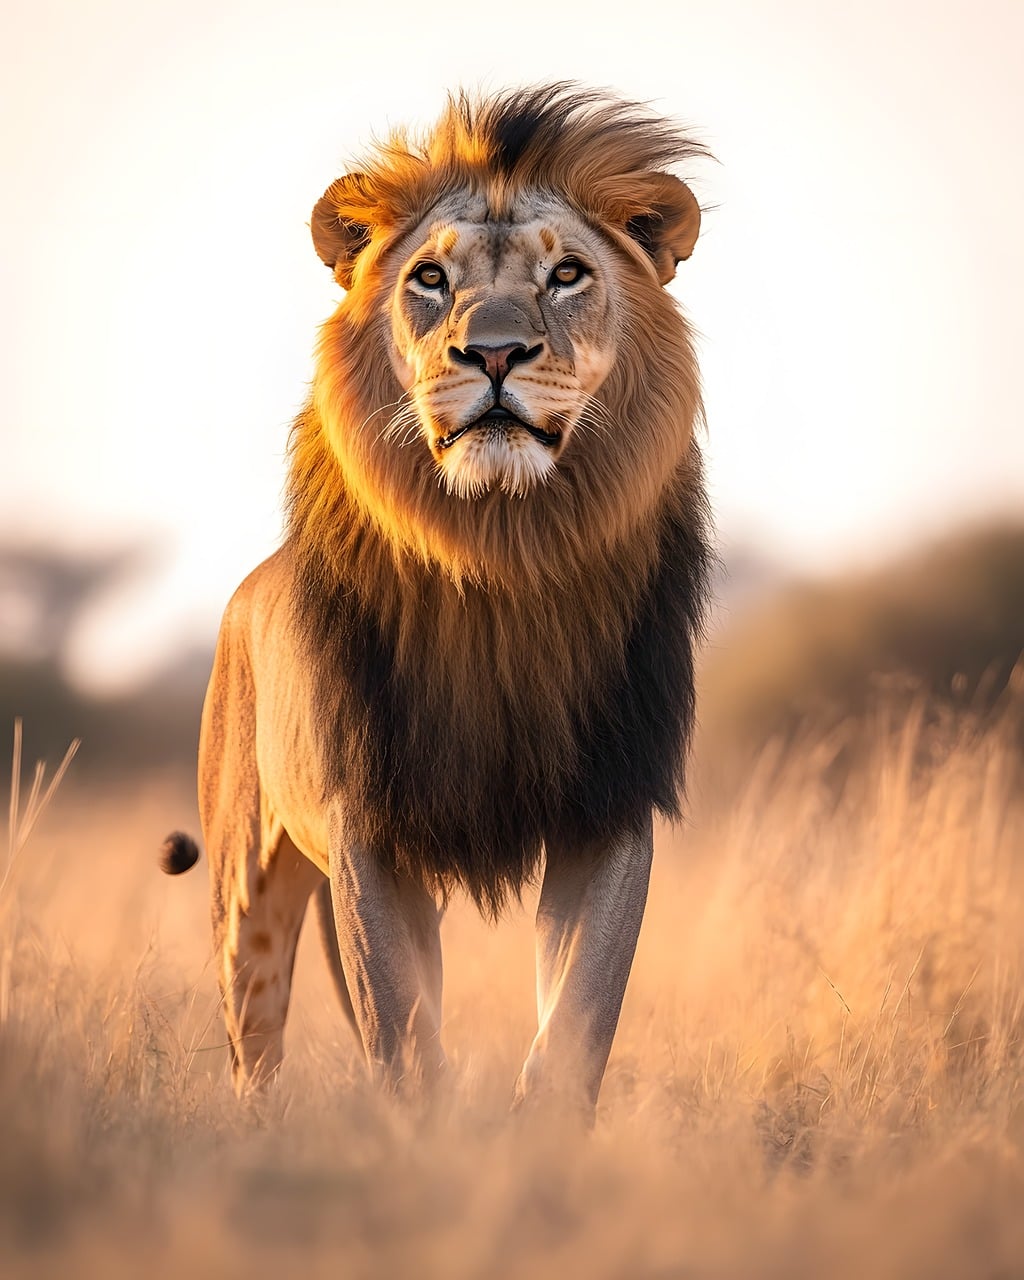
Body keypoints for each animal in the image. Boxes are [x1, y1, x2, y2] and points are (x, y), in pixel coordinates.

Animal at [162, 84, 712, 1118]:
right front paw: (427, 1134)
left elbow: (576, 1017)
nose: (493, 353)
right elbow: (404, 1026)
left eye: (568, 274)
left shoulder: (609, 805)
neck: (501, 554)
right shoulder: (369, 824)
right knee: (253, 1038)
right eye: (429, 278)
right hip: (245, 885)